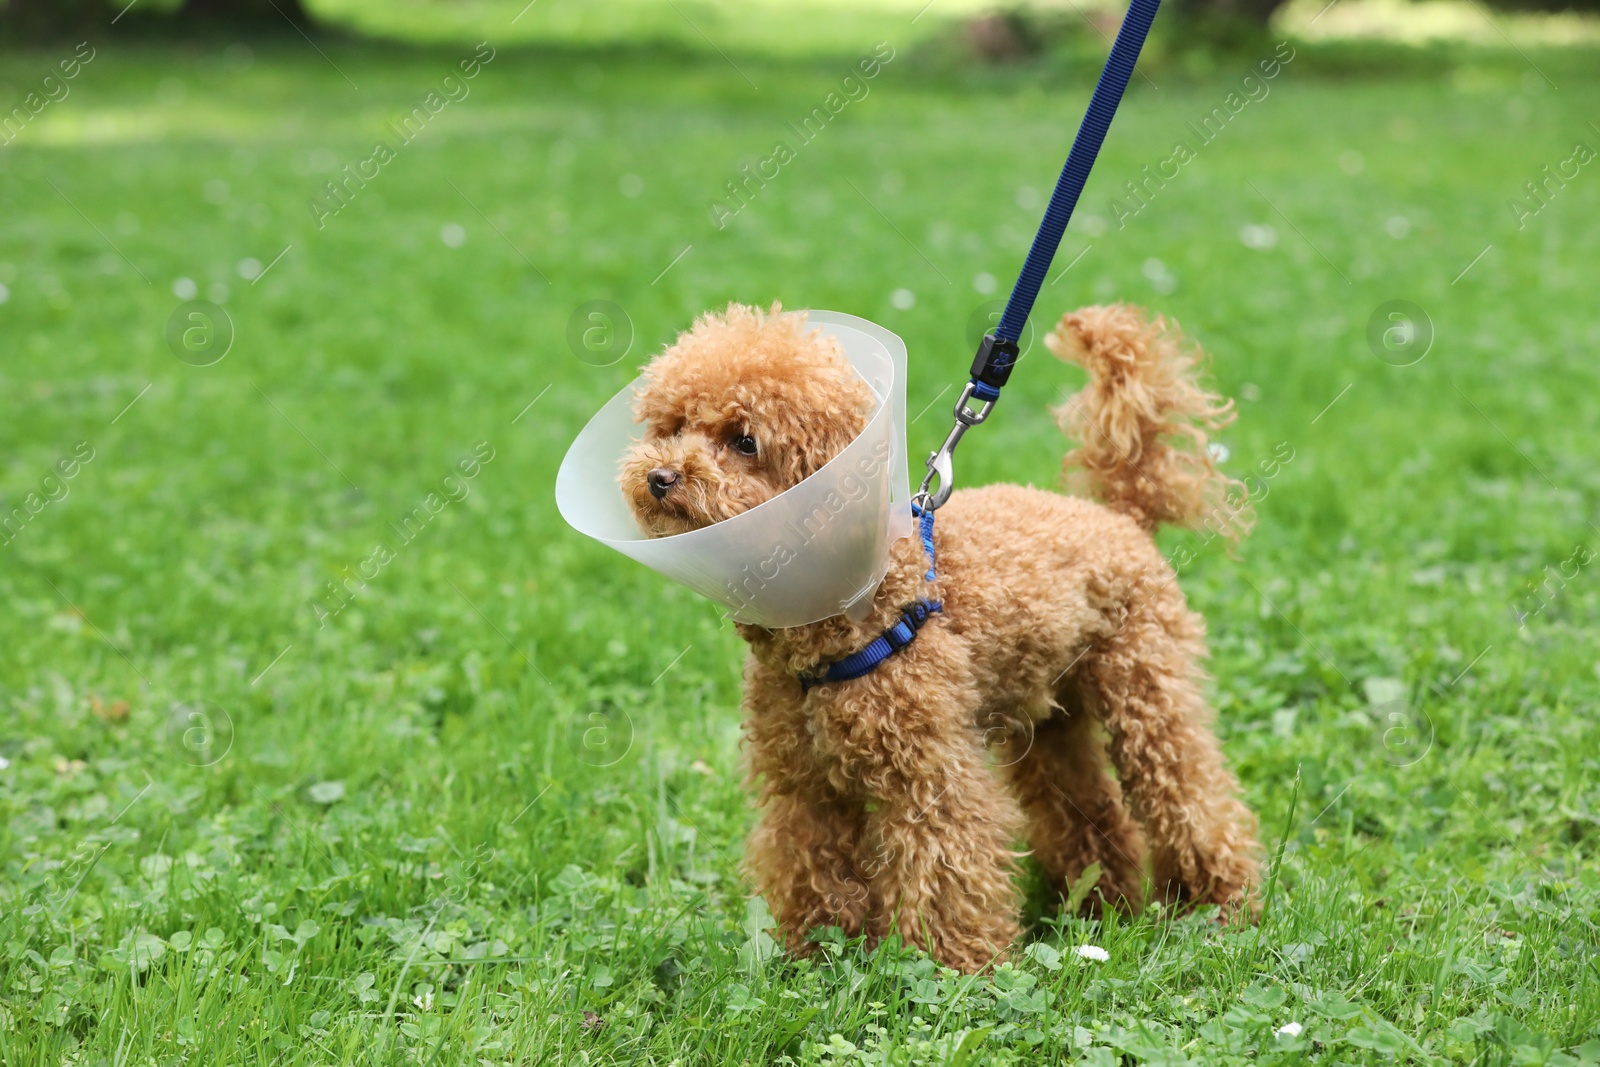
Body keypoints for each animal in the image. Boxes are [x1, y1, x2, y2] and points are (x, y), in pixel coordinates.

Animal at [620, 300, 1260, 979]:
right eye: (672, 425)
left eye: (745, 441)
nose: (659, 476)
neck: (859, 609)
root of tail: (1120, 515)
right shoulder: (804, 786)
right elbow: (811, 865)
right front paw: (817, 956)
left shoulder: (928, 776)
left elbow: (946, 868)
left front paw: (955, 967)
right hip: (1048, 719)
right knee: (1091, 810)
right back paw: (1101, 904)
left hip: (1147, 690)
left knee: (1190, 796)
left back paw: (1220, 904)